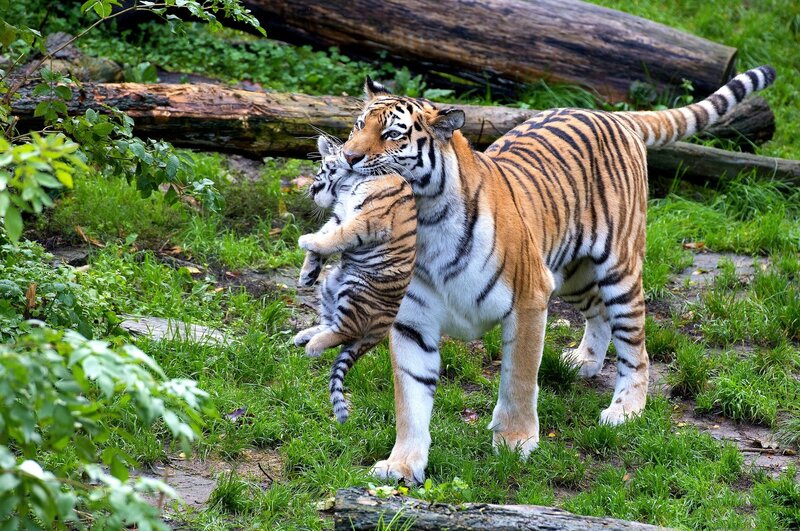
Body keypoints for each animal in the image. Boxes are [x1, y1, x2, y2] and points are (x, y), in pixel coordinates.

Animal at [293, 135, 417, 423]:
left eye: (321, 169)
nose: (311, 191)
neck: (351, 180)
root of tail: (384, 327)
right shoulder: (339, 215)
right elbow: (326, 235)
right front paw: (307, 274)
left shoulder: (367, 220)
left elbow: (333, 237)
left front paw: (306, 240)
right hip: (331, 283)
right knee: (332, 324)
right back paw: (304, 336)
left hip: (356, 289)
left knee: (345, 330)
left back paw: (312, 346)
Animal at [336, 66, 776, 483]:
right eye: (358, 126)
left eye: (392, 135)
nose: (348, 157)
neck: (426, 221)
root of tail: (613, 115)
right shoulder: (412, 321)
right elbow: (410, 399)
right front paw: (402, 464)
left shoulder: (528, 301)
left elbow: (518, 379)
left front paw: (515, 441)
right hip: (572, 274)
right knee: (598, 313)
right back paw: (583, 360)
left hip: (620, 269)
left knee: (637, 348)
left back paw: (625, 410)